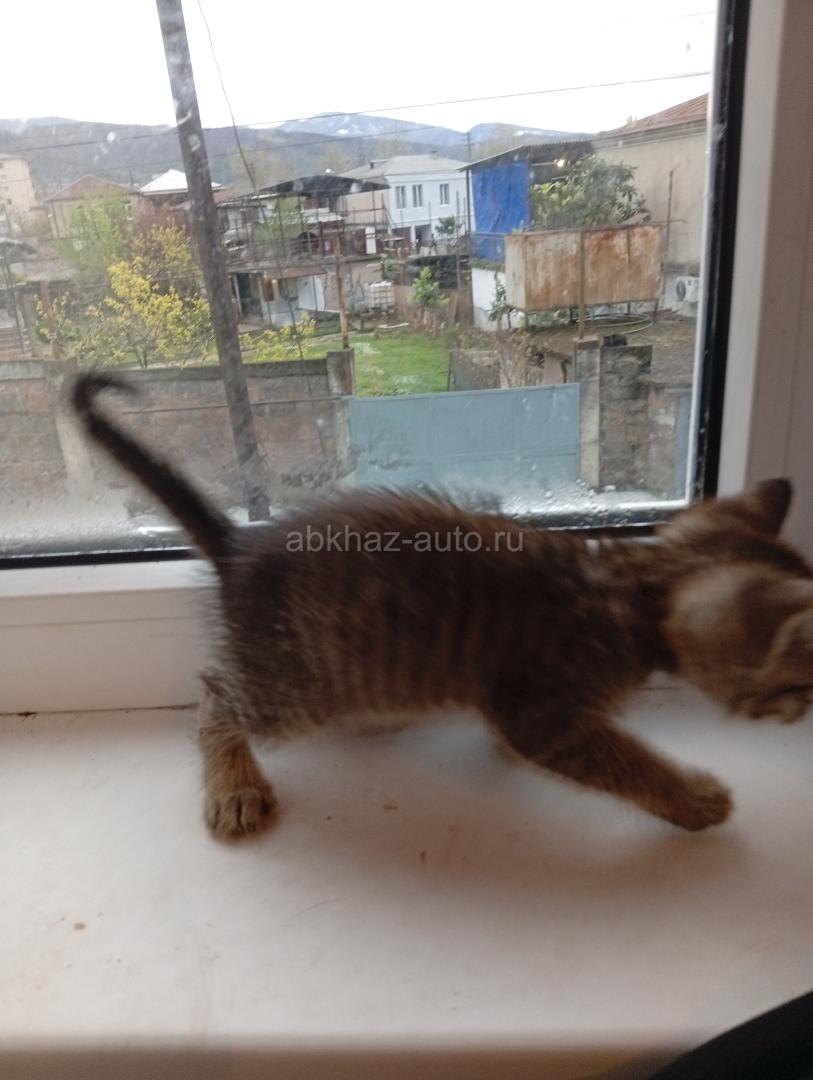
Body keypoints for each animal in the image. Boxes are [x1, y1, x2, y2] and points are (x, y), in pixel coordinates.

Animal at [72, 372, 813, 841]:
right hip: (294, 690)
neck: (625, 587)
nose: (804, 713)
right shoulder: (545, 714)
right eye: (801, 682)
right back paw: (234, 786)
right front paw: (694, 801)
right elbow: (628, 762)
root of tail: (238, 547)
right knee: (215, 695)